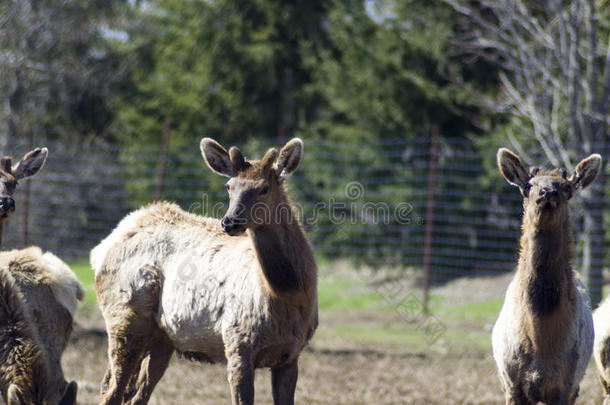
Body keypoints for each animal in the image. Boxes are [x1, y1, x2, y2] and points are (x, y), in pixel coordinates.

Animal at [91, 137, 318, 402]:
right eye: (229, 186)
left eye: (264, 188)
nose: (229, 222)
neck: (288, 295)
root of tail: (101, 248)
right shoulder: (237, 343)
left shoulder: (291, 355)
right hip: (125, 318)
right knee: (112, 392)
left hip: (161, 338)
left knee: (134, 394)